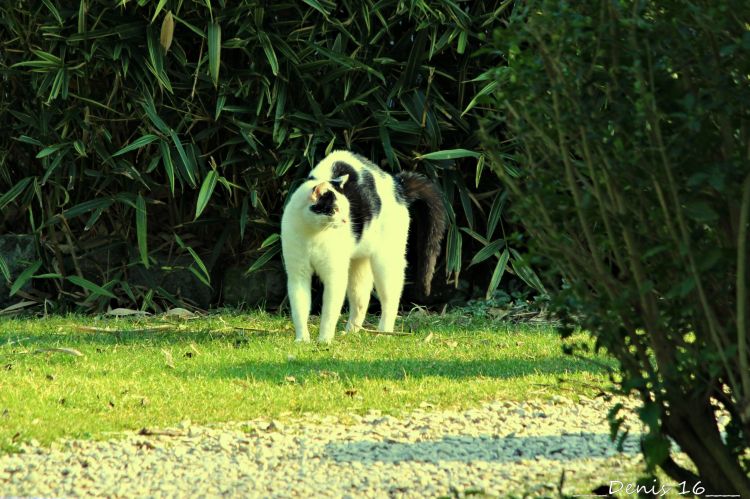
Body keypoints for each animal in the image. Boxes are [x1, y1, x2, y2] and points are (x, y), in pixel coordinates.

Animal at [282, 150, 446, 342]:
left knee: (390, 300)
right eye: (334, 210)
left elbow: (329, 312)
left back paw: (384, 332)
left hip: (385, 264)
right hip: (358, 266)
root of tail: (398, 185)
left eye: (347, 209)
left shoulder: (334, 276)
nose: (346, 221)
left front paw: (324, 340)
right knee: (361, 301)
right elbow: (299, 308)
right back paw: (351, 332)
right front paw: (302, 340)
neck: (313, 233)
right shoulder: (297, 274)